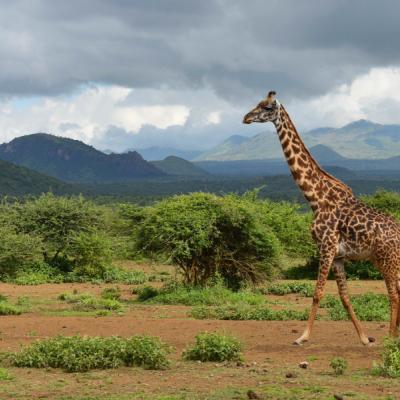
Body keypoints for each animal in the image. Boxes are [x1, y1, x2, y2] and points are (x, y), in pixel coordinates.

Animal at [242, 90, 400, 344]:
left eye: (266, 107)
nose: (245, 117)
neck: (315, 198)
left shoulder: (325, 247)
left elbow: (317, 293)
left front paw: (302, 337)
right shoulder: (338, 256)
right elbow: (344, 296)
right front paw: (364, 338)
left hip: (387, 258)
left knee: (393, 293)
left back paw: (391, 337)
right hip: (382, 258)